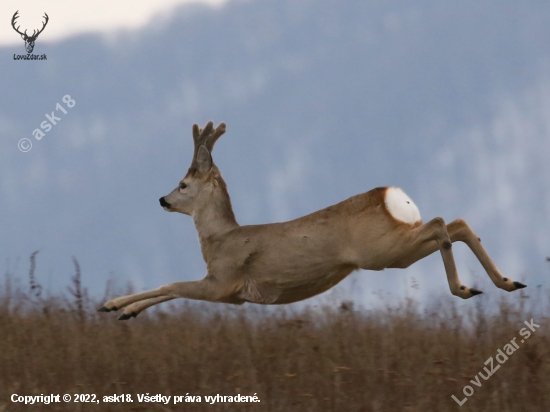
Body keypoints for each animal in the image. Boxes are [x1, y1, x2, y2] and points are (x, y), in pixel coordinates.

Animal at [99, 120, 528, 320]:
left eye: (183, 184)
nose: (162, 200)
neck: (220, 238)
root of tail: (392, 195)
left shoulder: (225, 283)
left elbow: (170, 284)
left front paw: (113, 304)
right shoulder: (224, 288)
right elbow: (170, 288)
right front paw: (123, 311)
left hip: (381, 251)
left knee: (442, 223)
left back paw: (464, 289)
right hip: (394, 246)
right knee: (457, 223)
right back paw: (506, 282)